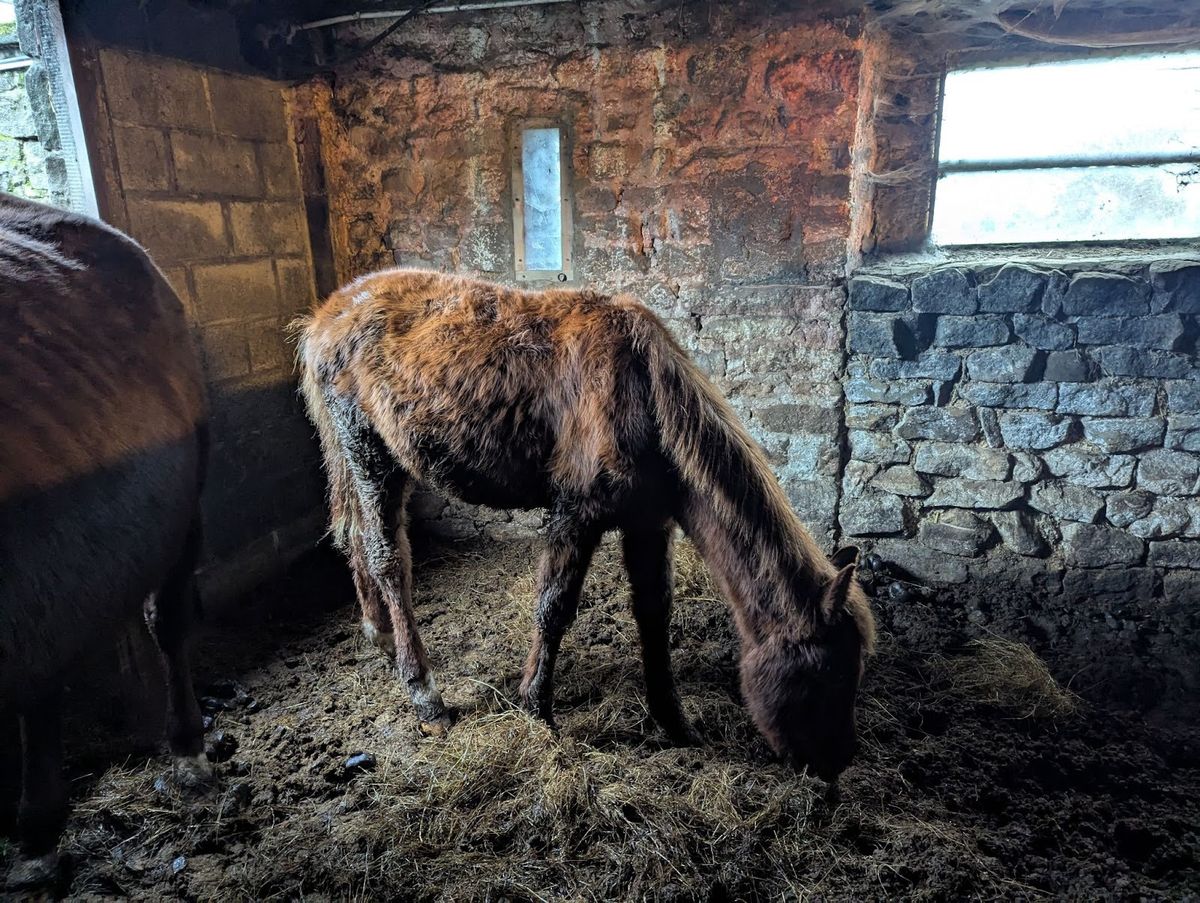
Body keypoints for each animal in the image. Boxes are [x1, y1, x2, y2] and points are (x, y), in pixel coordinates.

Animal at [296, 269, 876, 781]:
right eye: (830, 673)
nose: (837, 763)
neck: (643, 391)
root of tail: (327, 314)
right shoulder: (577, 511)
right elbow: (554, 608)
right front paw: (535, 708)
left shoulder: (648, 521)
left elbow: (654, 612)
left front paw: (673, 722)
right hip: (371, 454)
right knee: (388, 558)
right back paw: (426, 698)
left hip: (364, 459)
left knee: (355, 540)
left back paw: (380, 637)